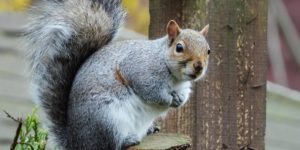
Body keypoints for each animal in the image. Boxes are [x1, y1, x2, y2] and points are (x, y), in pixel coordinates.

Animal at [23, 0, 210, 149]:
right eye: (179, 48)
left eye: (208, 50)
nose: (199, 67)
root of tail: (76, 142)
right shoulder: (140, 70)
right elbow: (152, 93)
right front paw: (168, 100)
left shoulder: (183, 85)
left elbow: (184, 94)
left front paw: (179, 100)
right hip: (107, 120)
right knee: (110, 144)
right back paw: (128, 140)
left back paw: (150, 129)